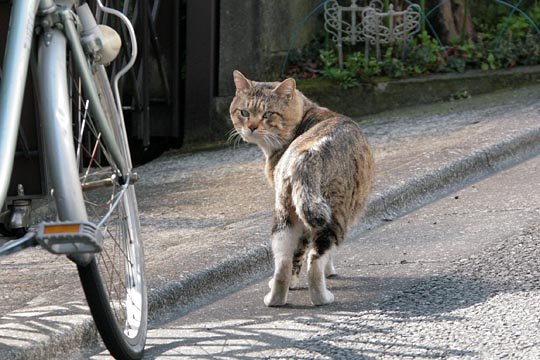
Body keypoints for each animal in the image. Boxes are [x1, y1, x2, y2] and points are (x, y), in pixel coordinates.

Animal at [229, 70, 376, 306]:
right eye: (244, 112)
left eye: (268, 114)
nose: (251, 127)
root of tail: (308, 154)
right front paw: (328, 272)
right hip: (330, 215)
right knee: (314, 259)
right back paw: (322, 298)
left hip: (284, 216)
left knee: (283, 262)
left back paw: (275, 298)